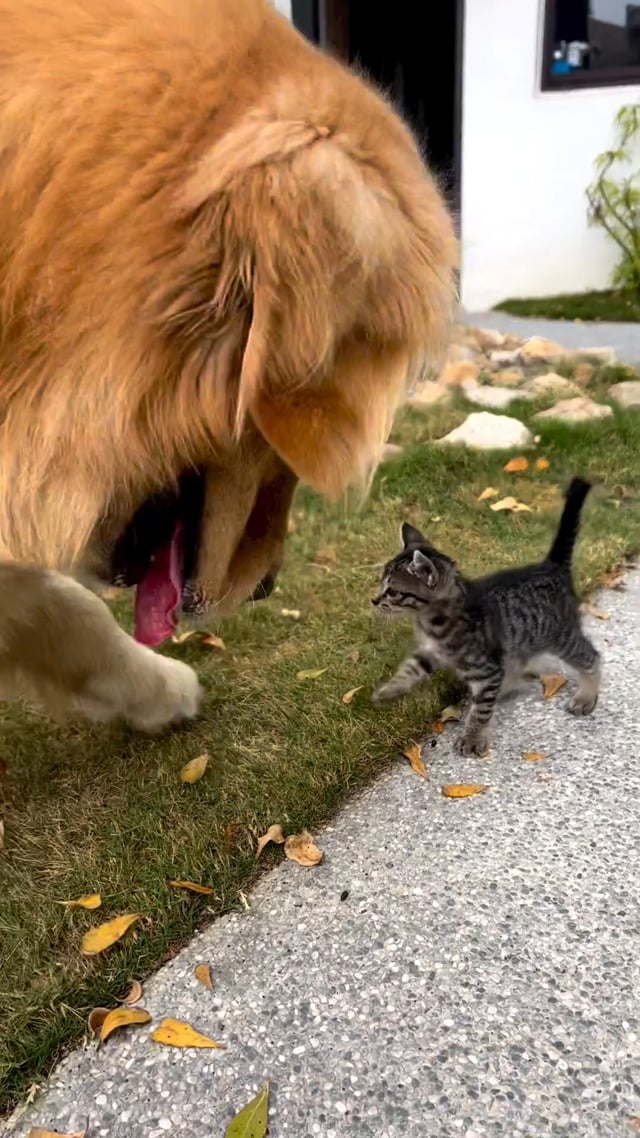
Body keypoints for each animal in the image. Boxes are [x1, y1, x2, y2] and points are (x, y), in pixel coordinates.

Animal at [371, 477, 601, 755]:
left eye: (392, 591)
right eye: (381, 584)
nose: (374, 601)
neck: (431, 622)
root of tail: (550, 565)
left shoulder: (486, 670)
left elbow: (480, 712)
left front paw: (472, 738)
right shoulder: (431, 651)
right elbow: (410, 668)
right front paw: (389, 690)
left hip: (561, 635)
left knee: (591, 656)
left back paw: (586, 696)